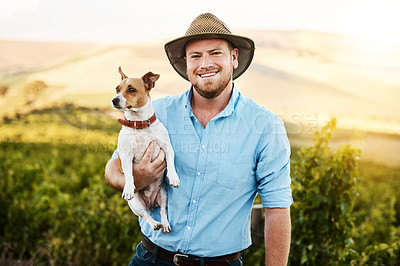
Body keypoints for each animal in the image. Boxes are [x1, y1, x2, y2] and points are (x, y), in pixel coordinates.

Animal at [110, 67, 179, 235]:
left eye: (131, 89)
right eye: (117, 89)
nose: (115, 100)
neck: (139, 123)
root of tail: (150, 203)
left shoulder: (168, 148)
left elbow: (171, 164)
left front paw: (174, 177)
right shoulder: (126, 156)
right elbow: (129, 174)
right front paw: (128, 187)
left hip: (163, 195)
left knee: (163, 211)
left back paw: (164, 224)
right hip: (136, 204)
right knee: (146, 216)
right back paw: (155, 224)